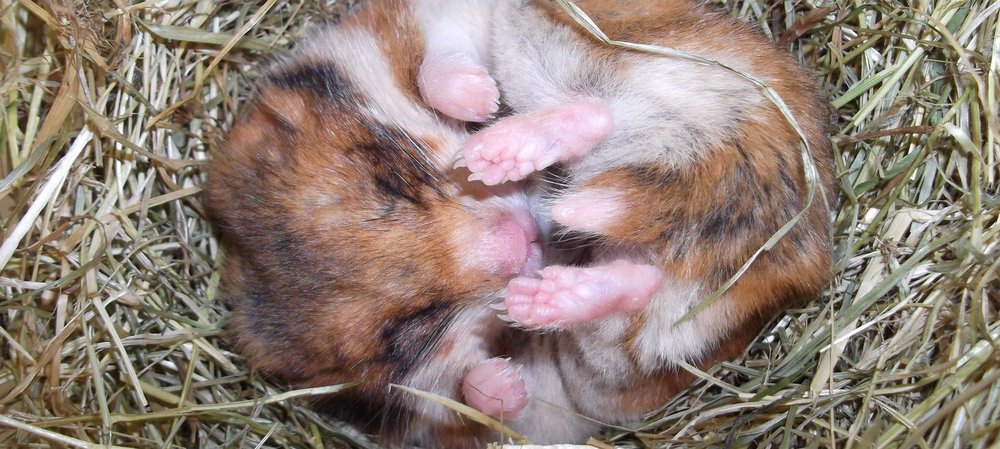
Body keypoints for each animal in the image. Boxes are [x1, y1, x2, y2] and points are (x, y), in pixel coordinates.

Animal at [414, 0, 836, 440]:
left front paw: (482, 103)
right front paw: (482, 103)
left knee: (595, 118)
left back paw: (491, 158)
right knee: (636, 282)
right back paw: (532, 296)